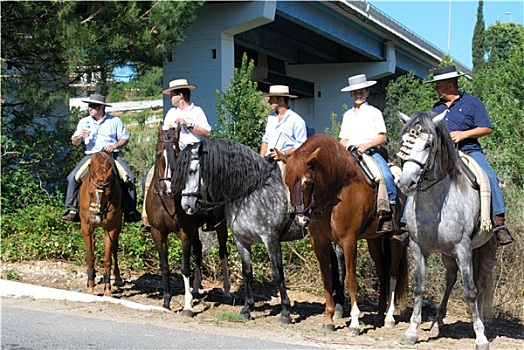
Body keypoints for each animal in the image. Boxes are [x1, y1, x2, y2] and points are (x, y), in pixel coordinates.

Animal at [79, 150, 123, 296]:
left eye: (108, 193)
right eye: (90, 192)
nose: (96, 218)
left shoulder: (111, 228)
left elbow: (107, 259)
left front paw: (107, 288)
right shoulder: (86, 227)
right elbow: (90, 257)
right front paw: (91, 286)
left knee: (114, 248)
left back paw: (118, 278)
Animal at [146, 123, 230, 318]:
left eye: (177, 154)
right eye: (158, 154)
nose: (167, 189)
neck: (167, 202)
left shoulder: (184, 233)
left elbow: (184, 267)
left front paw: (187, 306)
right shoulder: (157, 232)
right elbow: (164, 266)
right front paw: (167, 302)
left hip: (220, 224)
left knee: (223, 251)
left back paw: (227, 290)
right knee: (198, 249)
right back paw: (197, 288)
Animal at [174, 138, 300, 324]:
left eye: (192, 171)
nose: (186, 206)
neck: (252, 192)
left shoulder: (271, 239)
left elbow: (278, 274)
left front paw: (285, 312)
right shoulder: (242, 241)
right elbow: (247, 273)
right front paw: (247, 309)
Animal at [282, 133, 410, 334]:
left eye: (308, 182)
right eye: (287, 182)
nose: (301, 219)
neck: (336, 190)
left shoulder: (348, 241)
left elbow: (350, 278)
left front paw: (355, 323)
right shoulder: (319, 243)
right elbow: (328, 278)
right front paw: (328, 320)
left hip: (394, 240)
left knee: (392, 273)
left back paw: (389, 317)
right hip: (374, 240)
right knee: (382, 271)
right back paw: (379, 315)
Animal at [400, 110, 498, 350]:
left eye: (428, 144)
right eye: (405, 142)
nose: (406, 183)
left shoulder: (463, 249)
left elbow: (470, 291)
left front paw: (480, 337)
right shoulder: (418, 248)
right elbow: (419, 287)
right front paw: (411, 332)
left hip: (487, 248)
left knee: (481, 285)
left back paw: (481, 323)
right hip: (446, 253)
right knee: (451, 277)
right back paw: (438, 321)